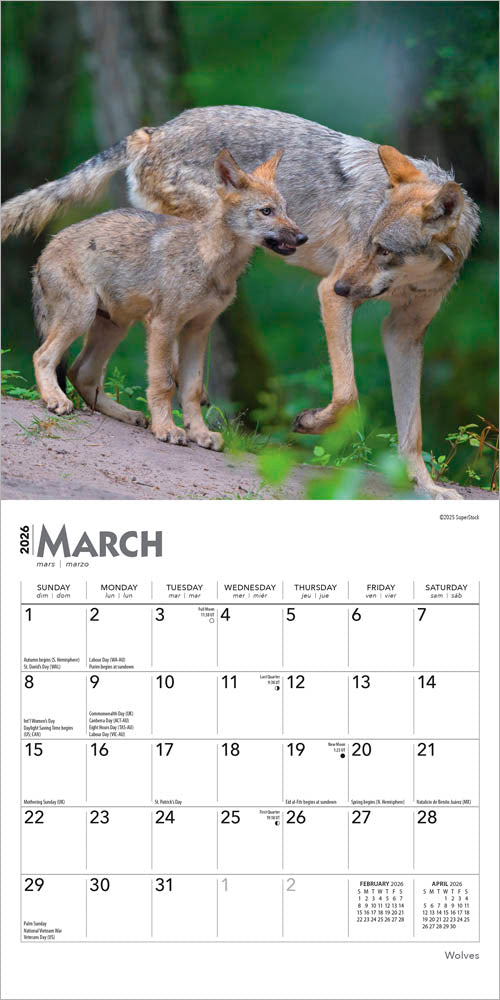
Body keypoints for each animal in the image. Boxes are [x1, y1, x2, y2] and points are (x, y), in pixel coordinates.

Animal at [31, 149, 305, 450]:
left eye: (286, 210)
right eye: (266, 211)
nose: (303, 237)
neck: (212, 263)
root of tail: (43, 252)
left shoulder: (198, 330)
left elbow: (192, 389)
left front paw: (200, 434)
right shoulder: (163, 324)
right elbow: (164, 383)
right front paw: (167, 429)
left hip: (115, 327)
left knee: (82, 373)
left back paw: (128, 414)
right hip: (82, 317)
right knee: (43, 356)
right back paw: (56, 400)